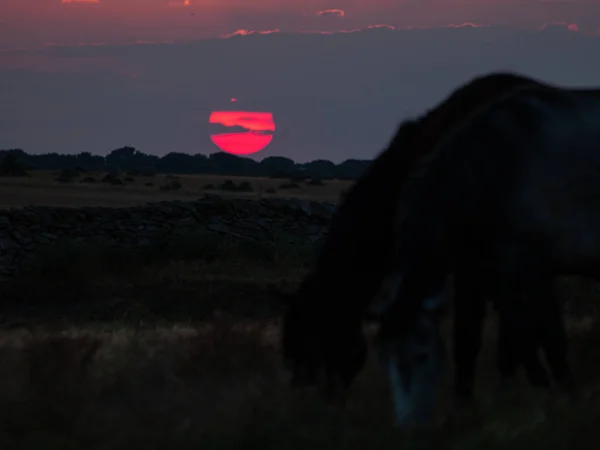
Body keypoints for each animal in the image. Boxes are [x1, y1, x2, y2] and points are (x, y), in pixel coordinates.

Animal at [282, 69, 584, 404]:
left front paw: (469, 400)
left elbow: (471, 335)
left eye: (312, 334)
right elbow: (522, 329)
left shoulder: (475, 264)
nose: (315, 396)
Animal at [378, 84, 600, 426]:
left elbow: (541, 335)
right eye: (387, 358)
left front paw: (559, 394)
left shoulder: (529, 270)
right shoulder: (478, 271)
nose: (408, 428)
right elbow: (472, 337)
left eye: (422, 355)